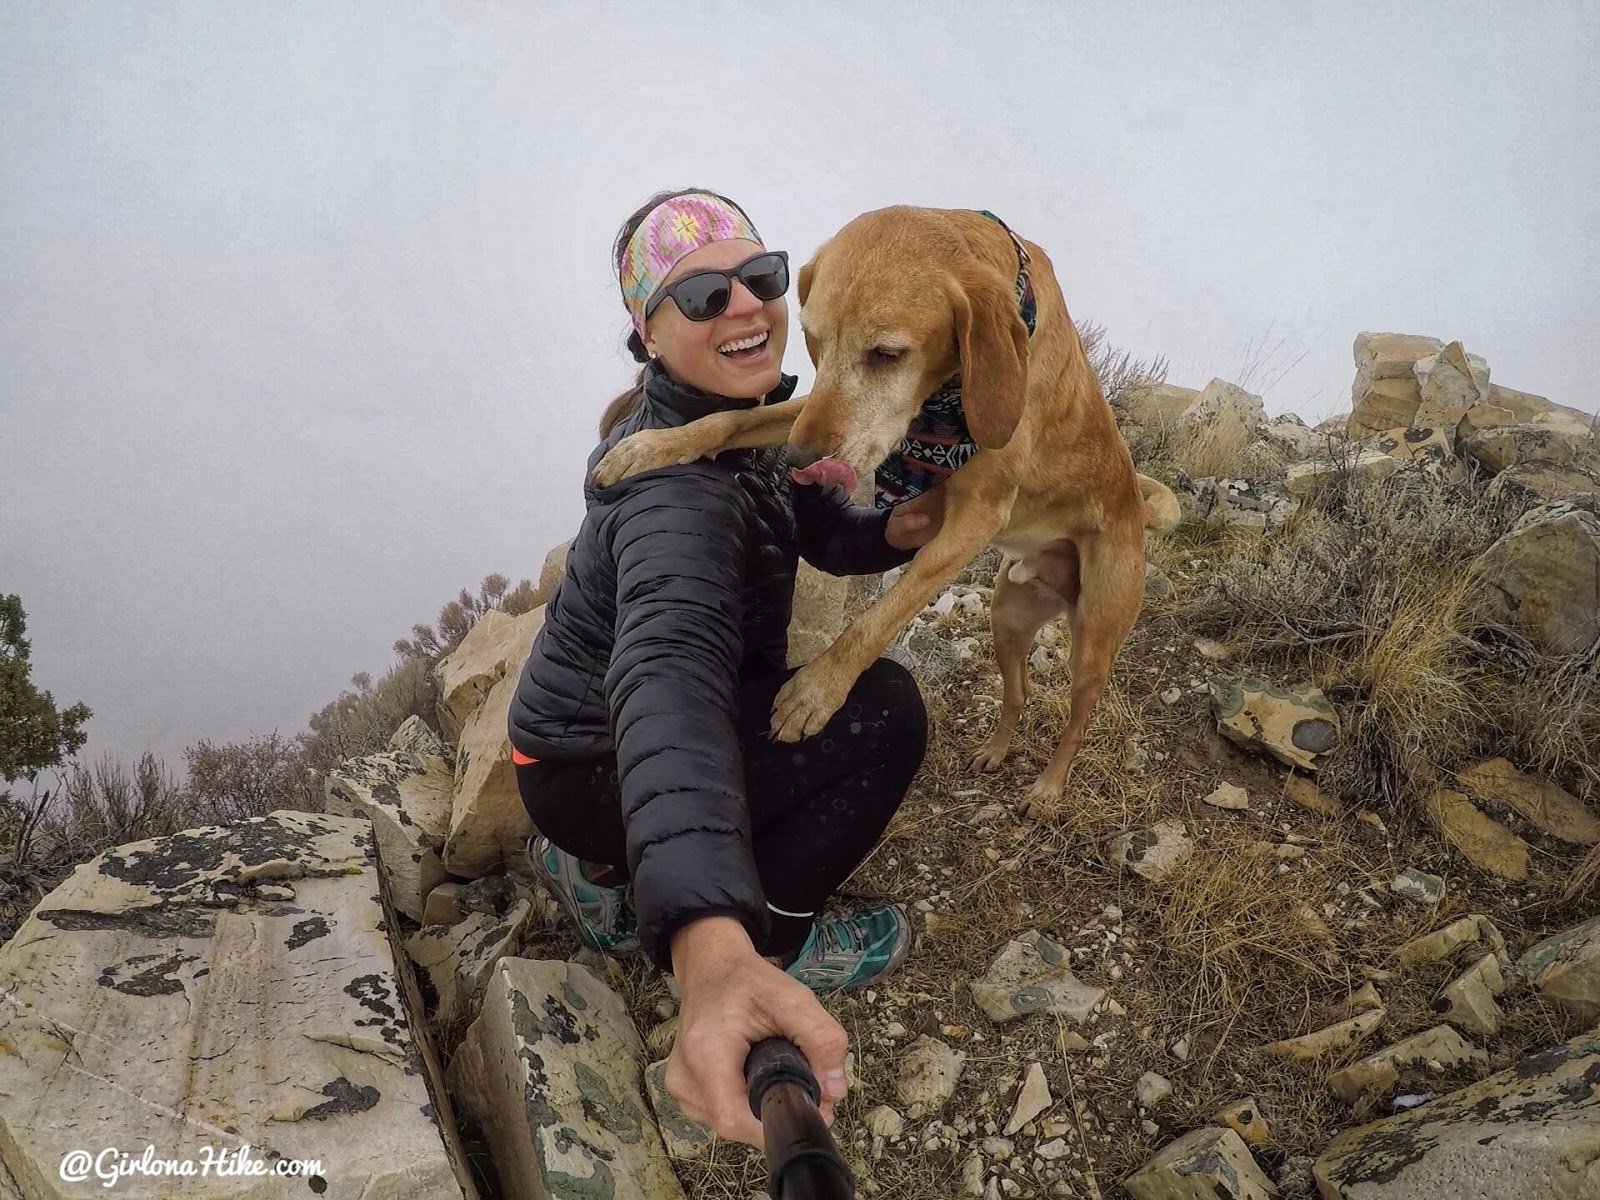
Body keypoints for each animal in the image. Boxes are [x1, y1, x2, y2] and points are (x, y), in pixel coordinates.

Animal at [595, 206, 1184, 812]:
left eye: (886, 355)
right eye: (813, 339)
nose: (799, 461)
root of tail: (1135, 509)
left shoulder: (980, 515)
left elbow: (880, 615)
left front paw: (817, 690)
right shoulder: (818, 416)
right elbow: (732, 418)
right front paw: (651, 447)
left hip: (1094, 640)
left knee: (1078, 718)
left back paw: (1047, 789)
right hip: (1007, 618)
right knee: (1018, 691)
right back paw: (996, 750)